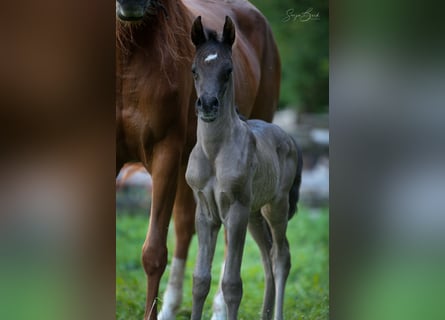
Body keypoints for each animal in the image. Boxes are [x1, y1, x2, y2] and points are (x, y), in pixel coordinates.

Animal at [116, 0, 280, 320]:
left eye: (228, 71)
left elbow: (154, 251)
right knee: (184, 227)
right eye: (193, 70)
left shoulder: (165, 154)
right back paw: (170, 307)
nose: (131, 3)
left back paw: (218, 310)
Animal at [184, 16, 302, 320]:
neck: (214, 153)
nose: (208, 105)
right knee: (267, 257)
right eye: (194, 70)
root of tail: (290, 138)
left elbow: (231, 284)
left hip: (275, 207)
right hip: (254, 215)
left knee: (281, 257)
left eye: (228, 70)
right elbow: (200, 280)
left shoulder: (235, 211)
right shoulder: (205, 213)